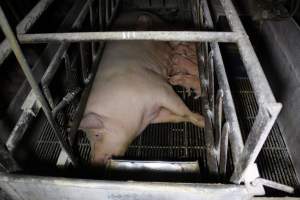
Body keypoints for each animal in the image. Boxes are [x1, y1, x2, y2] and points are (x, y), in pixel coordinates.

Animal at [79, 12, 204, 166]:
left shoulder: (159, 88)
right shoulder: (155, 114)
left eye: (97, 134)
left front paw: (202, 121)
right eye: (88, 138)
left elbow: (181, 109)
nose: (94, 162)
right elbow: (175, 117)